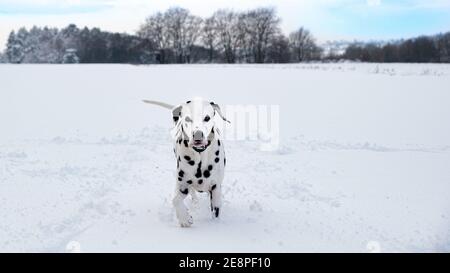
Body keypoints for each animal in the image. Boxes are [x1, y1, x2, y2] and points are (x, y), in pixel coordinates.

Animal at [143, 96, 230, 226]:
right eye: (188, 119)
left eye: (207, 118)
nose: (198, 135)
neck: (200, 156)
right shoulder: (182, 185)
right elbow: (175, 200)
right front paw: (184, 218)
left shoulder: (215, 189)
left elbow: (215, 212)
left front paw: (215, 225)